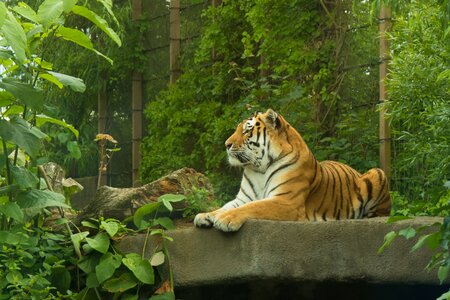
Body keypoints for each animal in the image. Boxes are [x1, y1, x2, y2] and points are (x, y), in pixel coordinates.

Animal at [193, 108, 390, 232]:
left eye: (246, 131)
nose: (226, 145)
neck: (258, 169)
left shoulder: (287, 201)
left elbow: (253, 207)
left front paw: (225, 219)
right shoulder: (243, 198)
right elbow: (224, 206)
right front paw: (205, 215)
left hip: (377, 173)